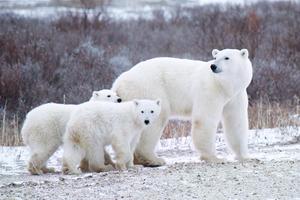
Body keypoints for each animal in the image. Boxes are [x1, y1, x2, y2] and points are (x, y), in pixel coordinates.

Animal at [112, 48, 253, 166]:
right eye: (215, 57)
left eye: (226, 57)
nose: (213, 66)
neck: (224, 86)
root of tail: (118, 83)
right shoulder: (210, 91)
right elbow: (205, 119)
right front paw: (215, 158)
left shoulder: (236, 96)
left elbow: (236, 122)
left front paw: (245, 156)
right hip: (149, 89)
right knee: (156, 119)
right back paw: (154, 159)